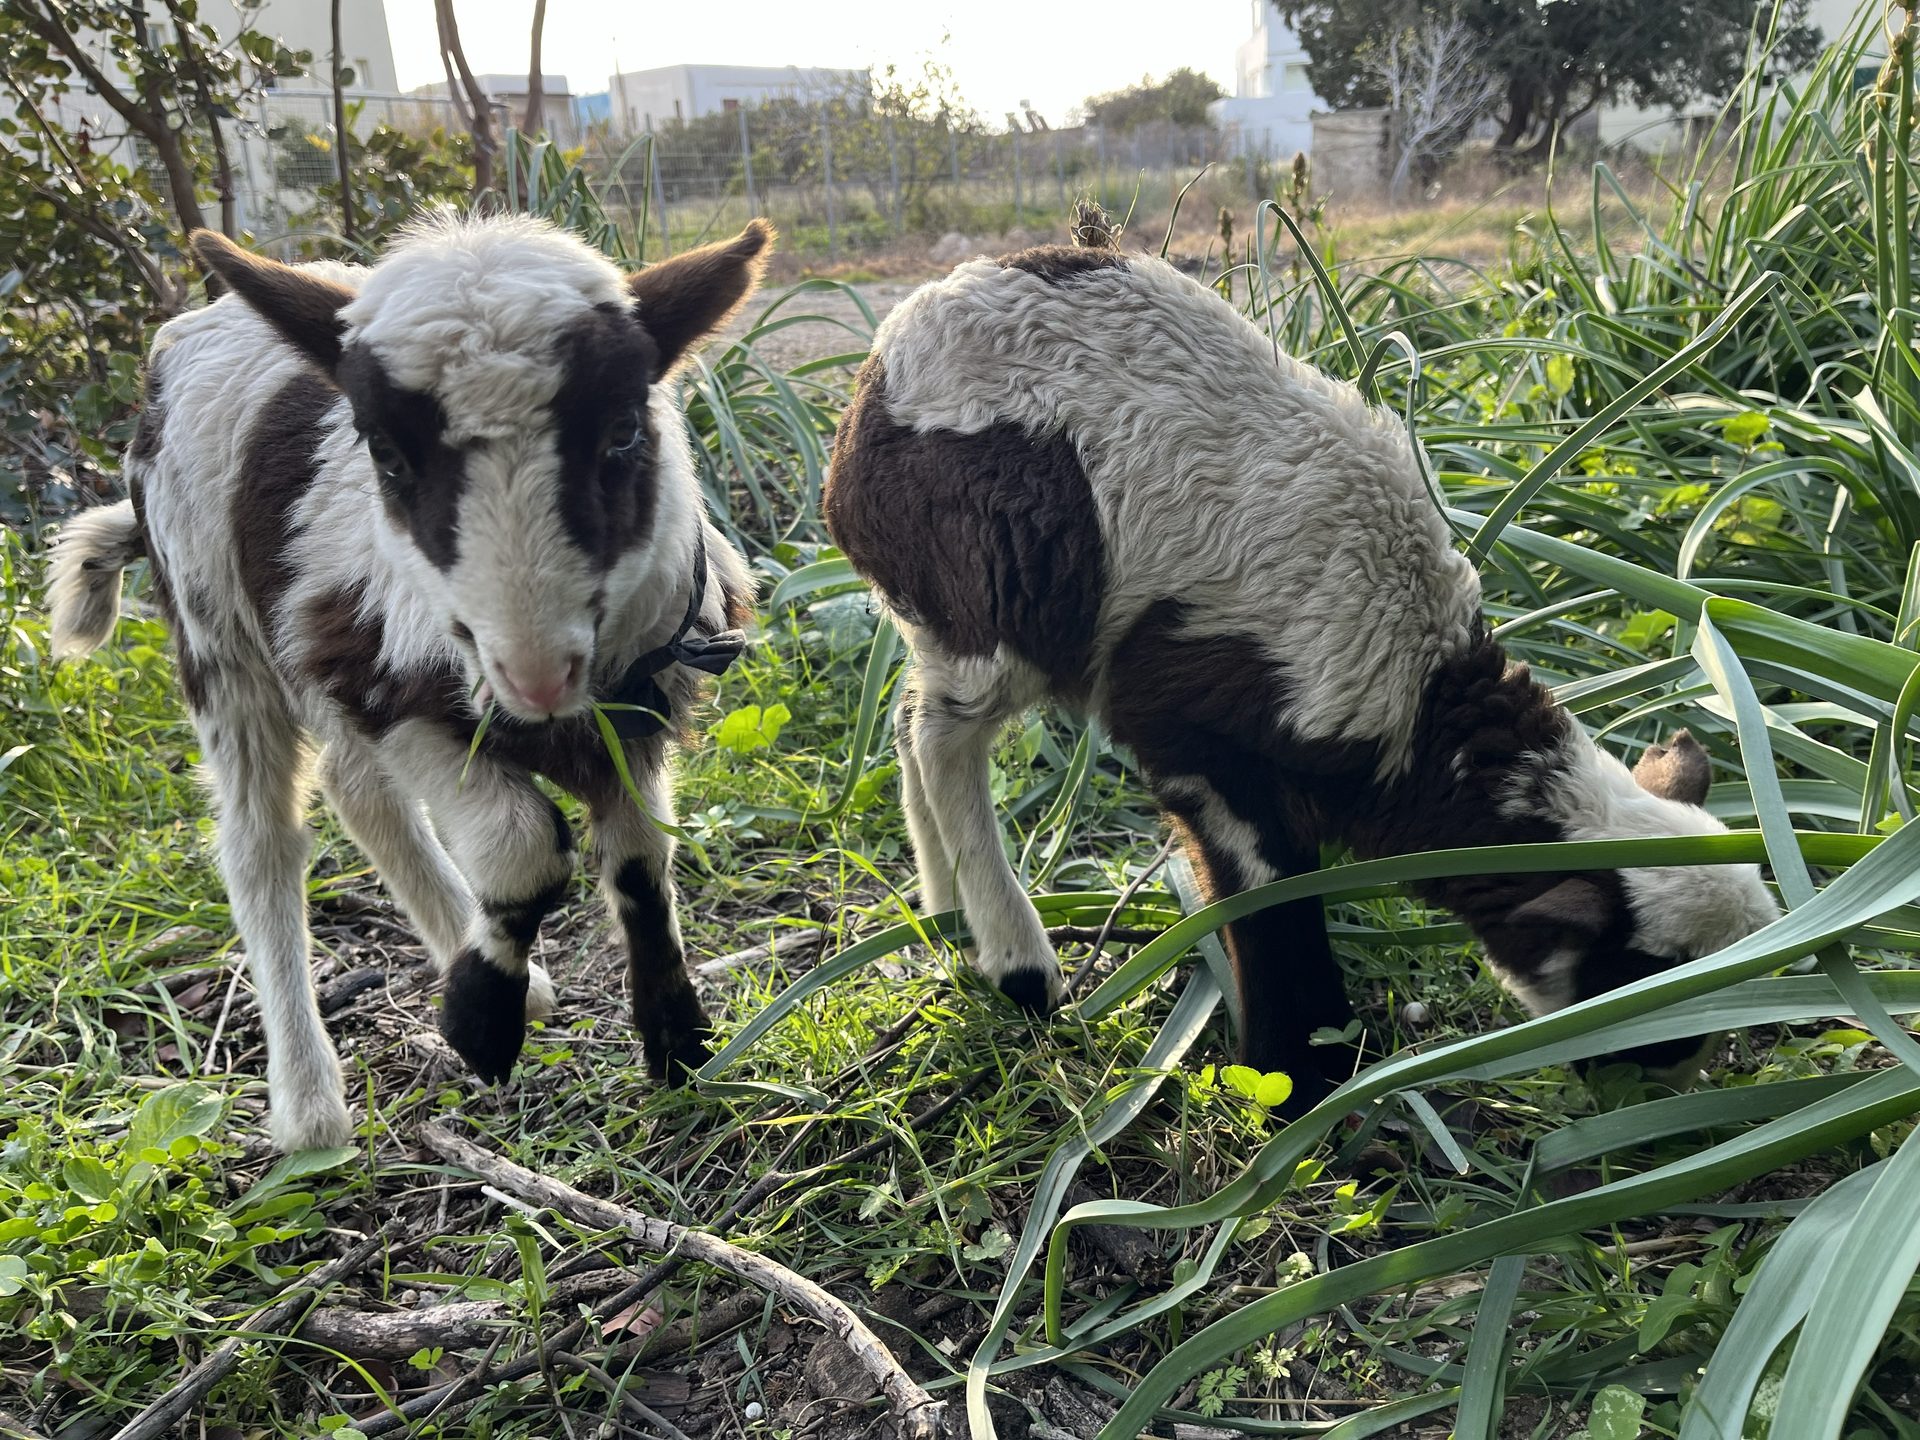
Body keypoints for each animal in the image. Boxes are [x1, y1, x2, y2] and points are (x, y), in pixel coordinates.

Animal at [47, 213, 771, 1151]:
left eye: (622, 430)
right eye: (385, 453)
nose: (535, 676)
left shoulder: (639, 709)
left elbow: (643, 860)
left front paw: (679, 1044)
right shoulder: (383, 684)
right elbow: (525, 848)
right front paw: (479, 1021)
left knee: (359, 795)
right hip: (220, 637)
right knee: (262, 843)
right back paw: (311, 1108)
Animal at [821, 237, 1781, 1112]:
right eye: (1640, 987)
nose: (1651, 1100)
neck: (1422, 707)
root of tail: (893, 342)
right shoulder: (1206, 739)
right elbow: (1270, 902)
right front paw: (1297, 1077)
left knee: (908, 717)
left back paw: (943, 914)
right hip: (988, 584)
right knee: (944, 734)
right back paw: (1019, 966)